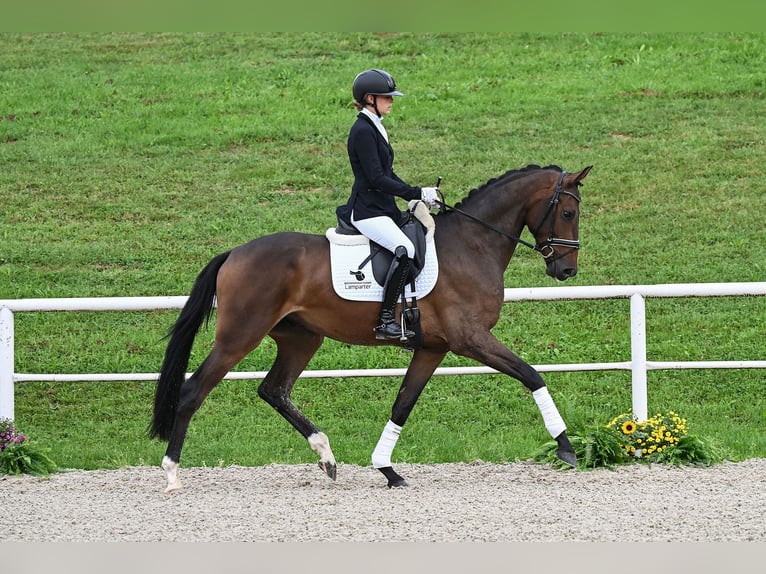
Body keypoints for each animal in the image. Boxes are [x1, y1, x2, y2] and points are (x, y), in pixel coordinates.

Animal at [148, 164, 592, 492]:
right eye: (568, 213)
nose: (566, 271)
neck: (472, 244)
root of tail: (234, 253)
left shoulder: (433, 348)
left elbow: (403, 404)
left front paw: (387, 469)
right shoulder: (471, 339)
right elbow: (531, 375)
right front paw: (566, 447)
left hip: (301, 338)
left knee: (274, 390)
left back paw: (326, 456)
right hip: (239, 336)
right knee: (193, 391)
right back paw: (171, 473)